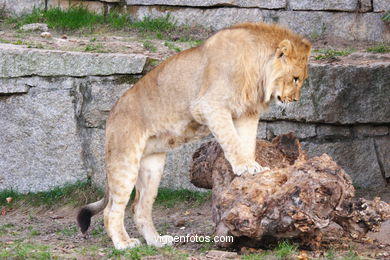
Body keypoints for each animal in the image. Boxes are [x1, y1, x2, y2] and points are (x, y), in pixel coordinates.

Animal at [76, 21, 310, 249]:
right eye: (295, 78)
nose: (296, 100)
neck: (258, 69)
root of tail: (112, 113)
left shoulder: (247, 112)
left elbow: (246, 142)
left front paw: (250, 168)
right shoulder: (210, 105)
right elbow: (232, 140)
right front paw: (245, 167)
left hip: (153, 166)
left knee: (139, 208)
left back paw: (157, 242)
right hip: (125, 160)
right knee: (111, 210)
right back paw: (124, 244)